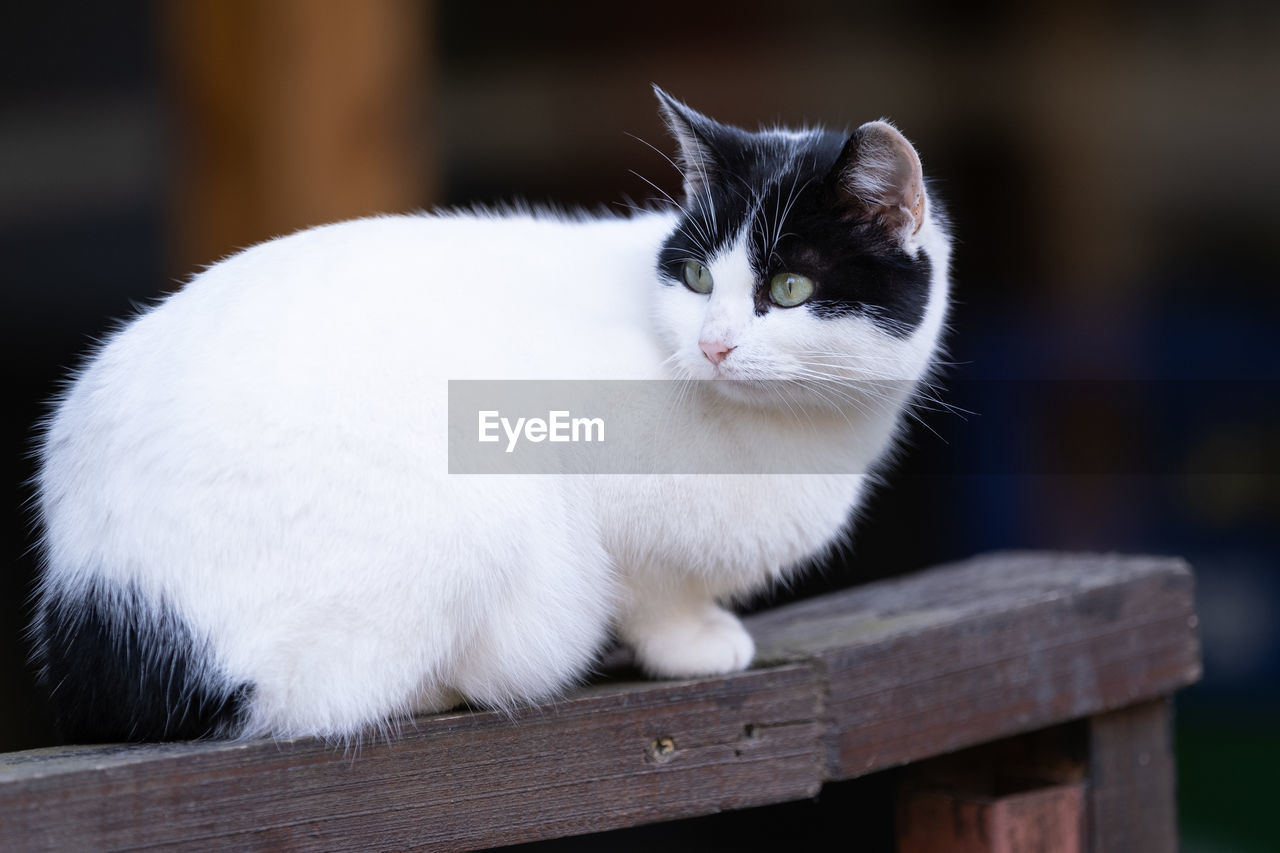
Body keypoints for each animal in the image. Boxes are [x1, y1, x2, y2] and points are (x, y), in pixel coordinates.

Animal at [30, 84, 952, 737]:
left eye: (788, 289)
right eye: (697, 280)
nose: (715, 345)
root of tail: (94, 607)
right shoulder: (604, 494)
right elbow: (653, 591)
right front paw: (694, 642)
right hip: (474, 517)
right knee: (316, 698)